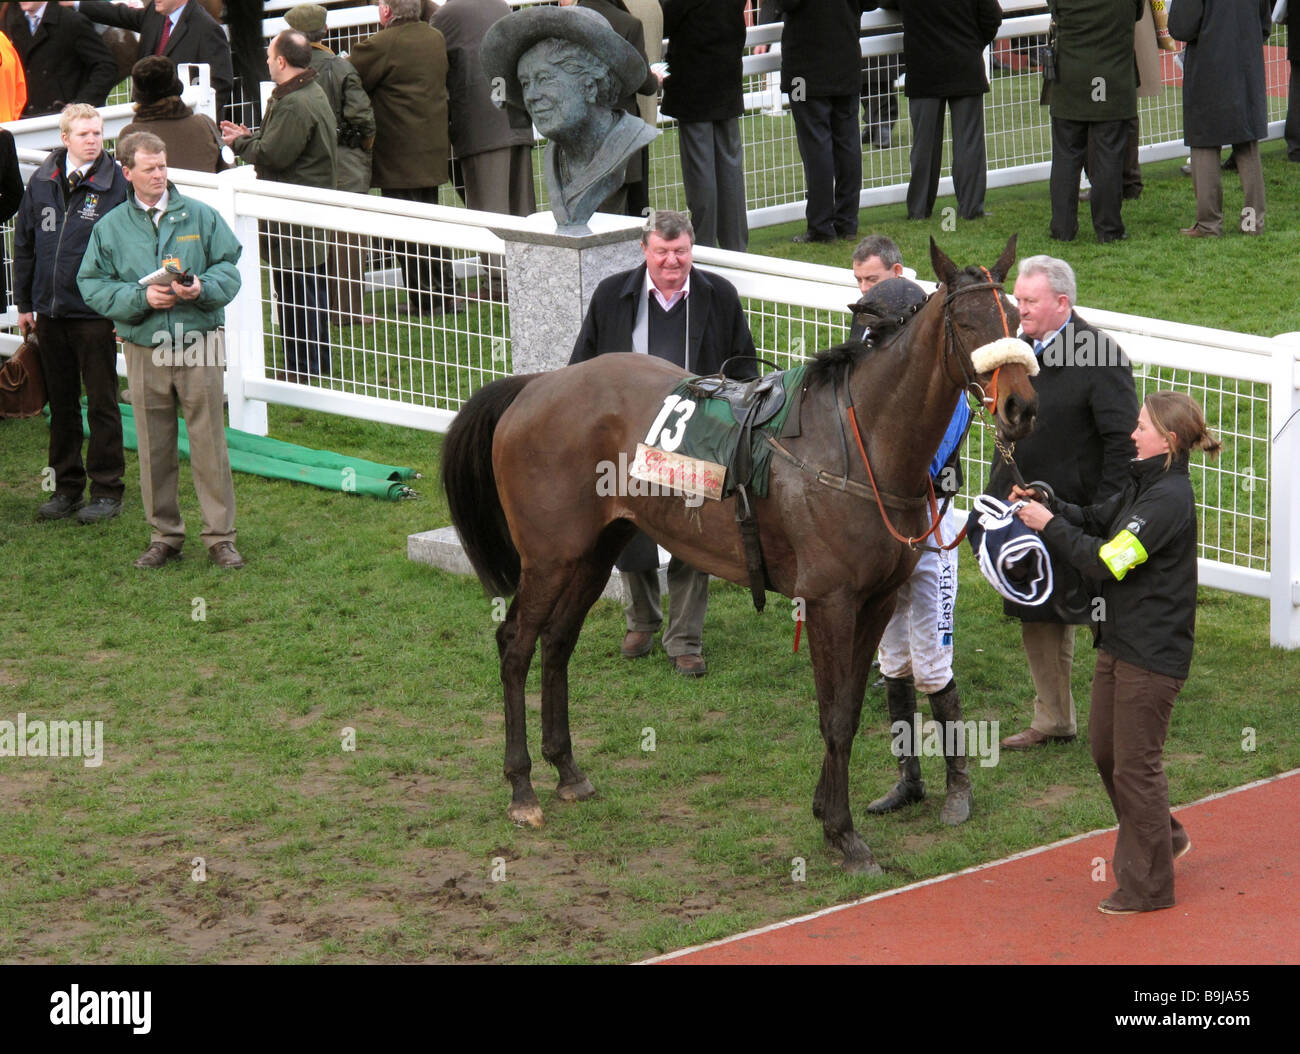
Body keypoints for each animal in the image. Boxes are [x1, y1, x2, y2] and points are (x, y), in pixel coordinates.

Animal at [444, 239, 1034, 873]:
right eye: (968, 323)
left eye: (1017, 318)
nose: (1021, 406)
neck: (862, 445)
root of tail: (535, 385)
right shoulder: (829, 601)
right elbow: (835, 716)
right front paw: (843, 833)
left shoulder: (876, 598)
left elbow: (852, 707)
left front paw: (828, 814)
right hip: (550, 556)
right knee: (515, 645)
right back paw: (522, 788)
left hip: (591, 553)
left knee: (557, 644)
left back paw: (568, 772)